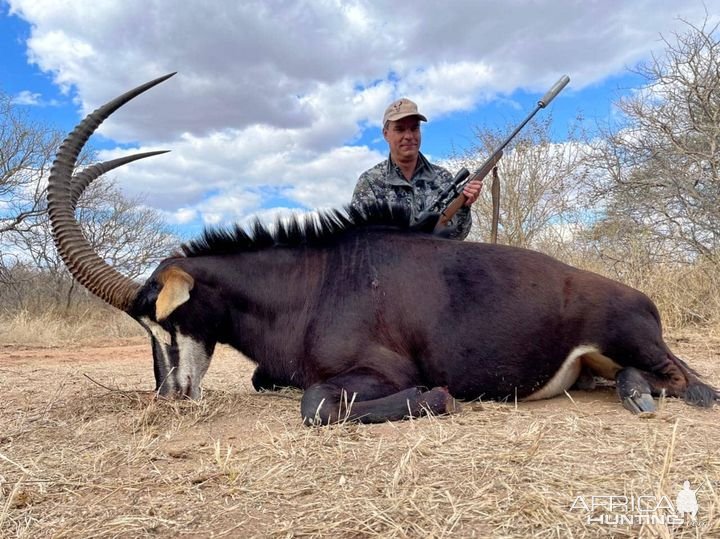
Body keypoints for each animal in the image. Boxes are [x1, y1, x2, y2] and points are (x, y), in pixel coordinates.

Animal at [47, 74, 716, 424]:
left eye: (165, 318)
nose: (171, 395)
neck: (314, 282)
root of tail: (641, 298)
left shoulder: (378, 371)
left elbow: (317, 403)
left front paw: (436, 395)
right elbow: (269, 381)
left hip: (631, 337)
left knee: (691, 381)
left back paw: (649, 394)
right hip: (594, 364)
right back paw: (632, 392)